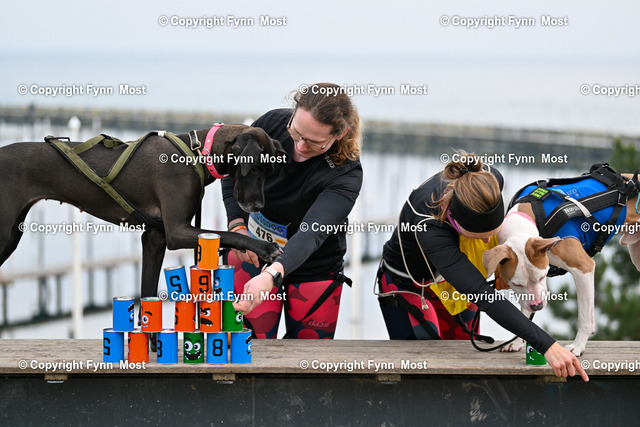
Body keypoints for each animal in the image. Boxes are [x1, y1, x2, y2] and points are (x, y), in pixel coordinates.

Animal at [0, 124, 285, 300]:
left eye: (270, 170)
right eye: (255, 167)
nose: (258, 206)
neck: (195, 153)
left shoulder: (154, 238)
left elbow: (147, 291)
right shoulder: (177, 232)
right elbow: (231, 235)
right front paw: (264, 247)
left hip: (12, 234)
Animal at [483, 170, 640, 356]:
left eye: (542, 277)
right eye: (516, 284)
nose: (537, 306)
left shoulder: (583, 268)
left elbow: (584, 318)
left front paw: (578, 346)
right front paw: (516, 342)